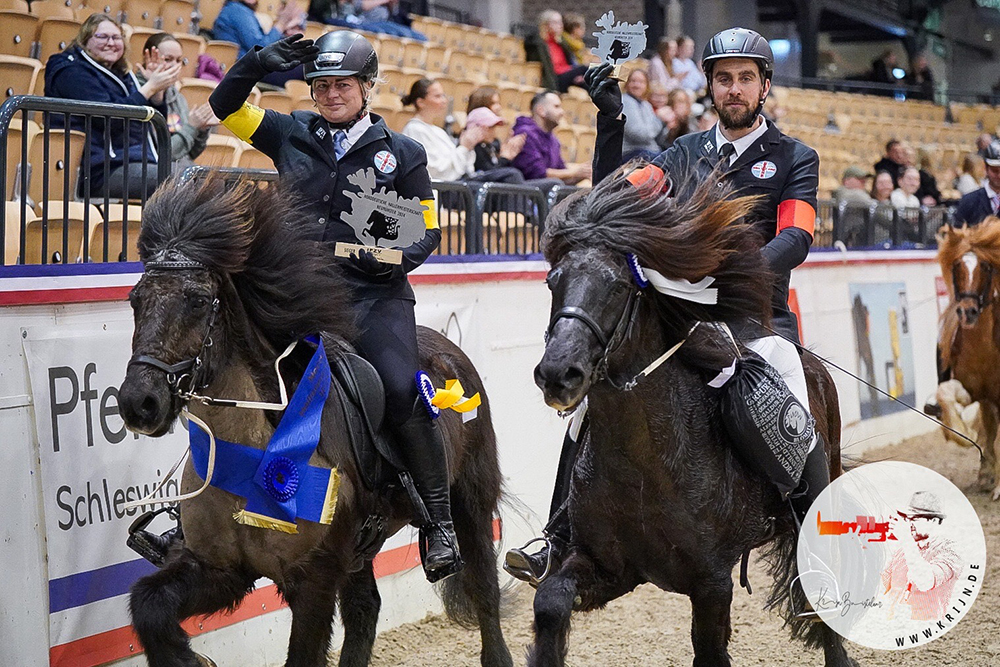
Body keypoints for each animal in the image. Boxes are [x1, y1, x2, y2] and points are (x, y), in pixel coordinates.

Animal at [117, 176, 512, 667]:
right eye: (135, 300)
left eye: (197, 301)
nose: (139, 403)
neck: (253, 452)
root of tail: (450, 354)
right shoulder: (221, 569)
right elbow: (149, 606)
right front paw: (192, 660)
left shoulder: (314, 577)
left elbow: (303, 654)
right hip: (361, 547)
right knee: (366, 609)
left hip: (470, 503)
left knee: (484, 592)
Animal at [528, 168, 856, 667]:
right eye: (552, 280)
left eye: (619, 285)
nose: (557, 374)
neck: (646, 459)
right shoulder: (607, 566)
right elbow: (549, 603)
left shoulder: (712, 583)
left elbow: (710, 649)